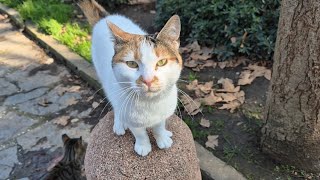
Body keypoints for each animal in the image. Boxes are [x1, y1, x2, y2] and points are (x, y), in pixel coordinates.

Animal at [78, 0, 181, 156]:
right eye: (131, 64)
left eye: (161, 62)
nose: (148, 80)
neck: (150, 104)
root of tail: (104, 19)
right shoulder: (132, 118)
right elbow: (139, 132)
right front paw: (143, 145)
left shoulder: (162, 113)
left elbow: (159, 126)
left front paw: (162, 137)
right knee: (114, 102)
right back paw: (119, 123)